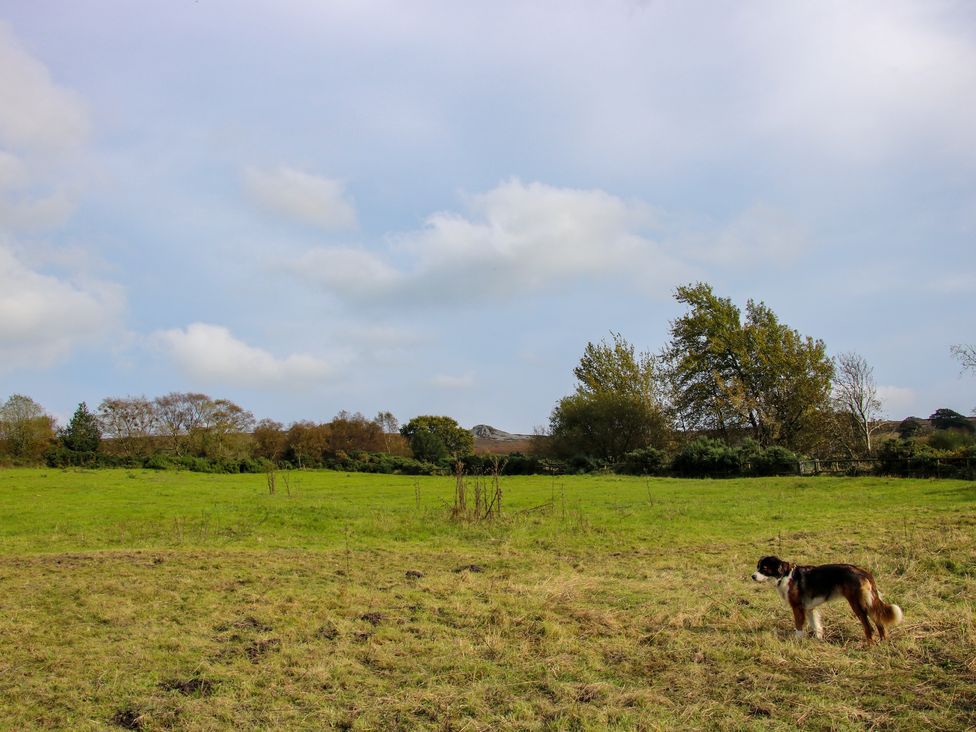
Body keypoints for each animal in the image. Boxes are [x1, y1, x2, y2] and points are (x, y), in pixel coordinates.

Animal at [752, 556, 904, 640]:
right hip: (868, 603)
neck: (784, 575)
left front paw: (797, 640)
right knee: (879, 623)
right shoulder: (809, 608)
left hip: (858, 605)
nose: (753, 576)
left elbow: (799, 626)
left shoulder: (797, 607)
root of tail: (862, 571)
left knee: (869, 628)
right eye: (757, 567)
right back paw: (883, 643)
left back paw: (869, 645)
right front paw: (818, 639)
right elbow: (816, 625)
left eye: (764, 568)